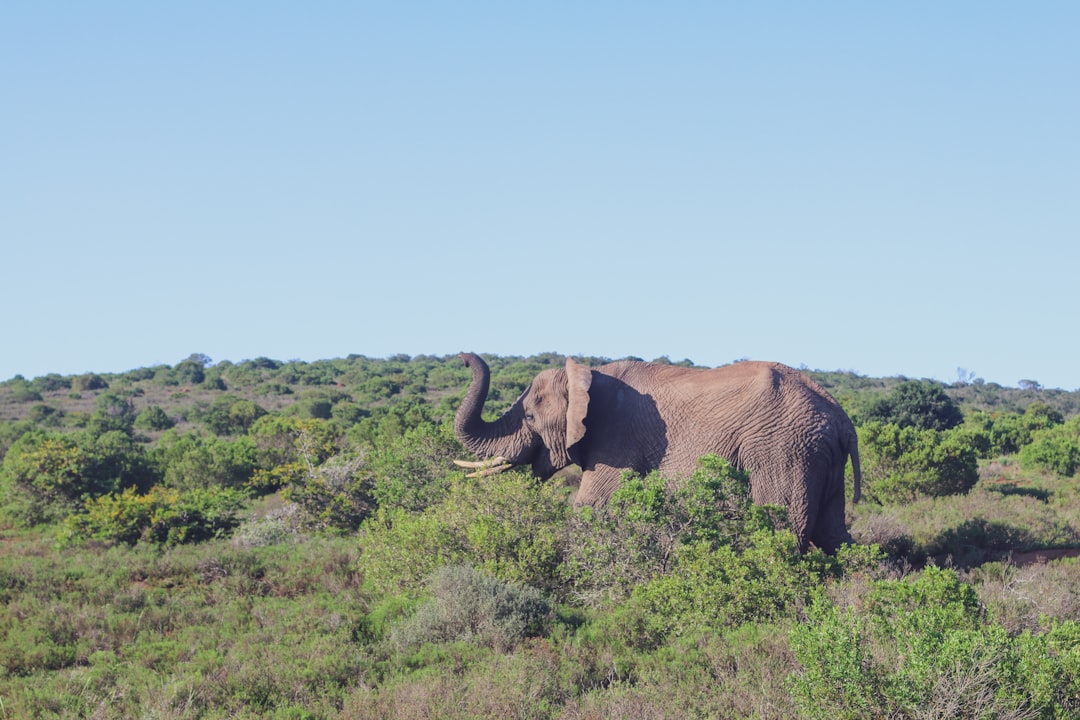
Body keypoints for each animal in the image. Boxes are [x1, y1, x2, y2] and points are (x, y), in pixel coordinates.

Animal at [453, 351, 859, 557]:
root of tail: (843, 420)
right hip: (814, 456)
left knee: (784, 531)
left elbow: (591, 506)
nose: (462, 357)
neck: (587, 373)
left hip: (784, 450)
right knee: (834, 535)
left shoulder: (616, 439)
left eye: (530, 417)